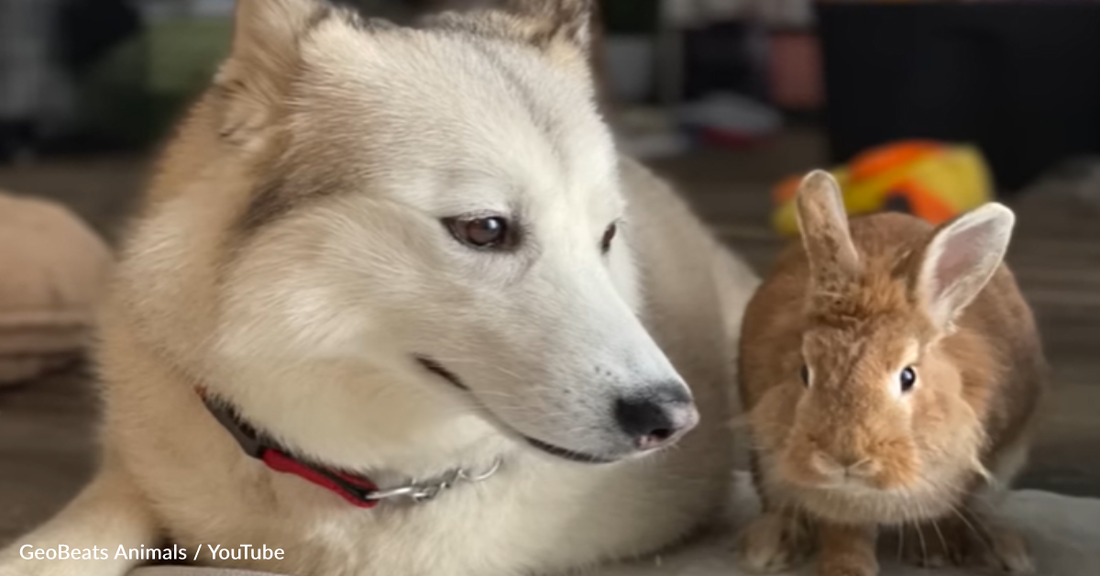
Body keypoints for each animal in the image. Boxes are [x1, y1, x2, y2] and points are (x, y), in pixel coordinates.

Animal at [734, 171, 1042, 576]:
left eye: (907, 377)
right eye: (804, 373)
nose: (844, 458)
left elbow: (946, 511)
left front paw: (933, 553)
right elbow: (843, 532)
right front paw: (845, 570)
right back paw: (771, 546)